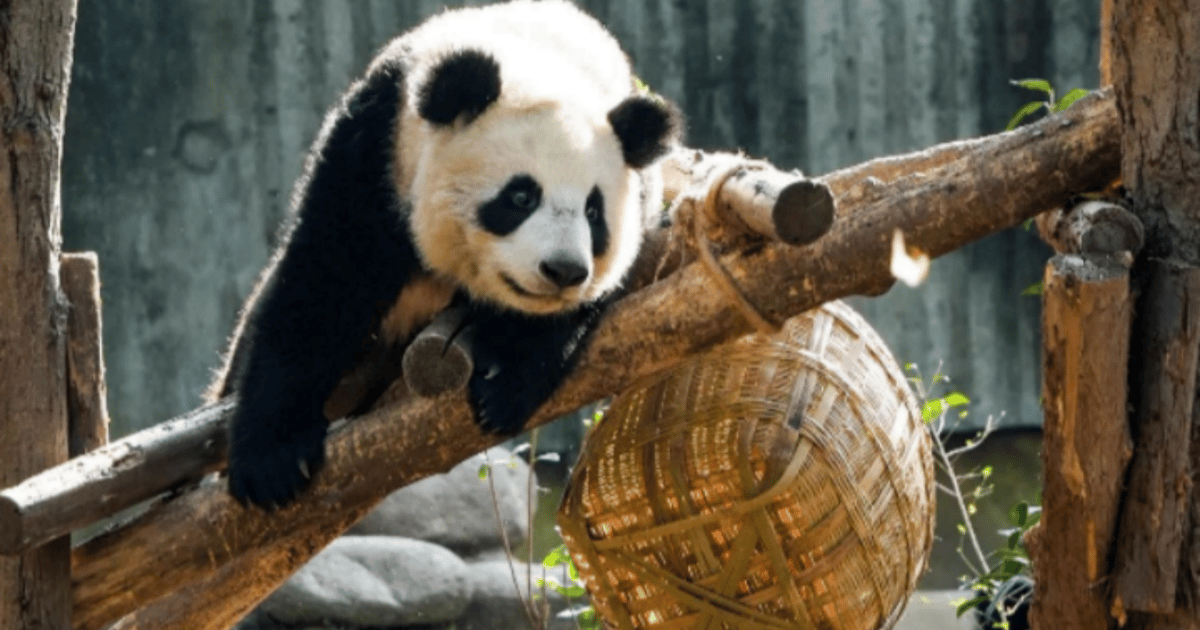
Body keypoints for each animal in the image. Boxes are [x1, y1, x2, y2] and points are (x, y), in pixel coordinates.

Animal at [208, 0, 683, 510]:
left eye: (594, 213)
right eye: (521, 197)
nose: (563, 270)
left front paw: (504, 375)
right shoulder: (374, 150)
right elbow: (324, 285)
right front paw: (272, 462)